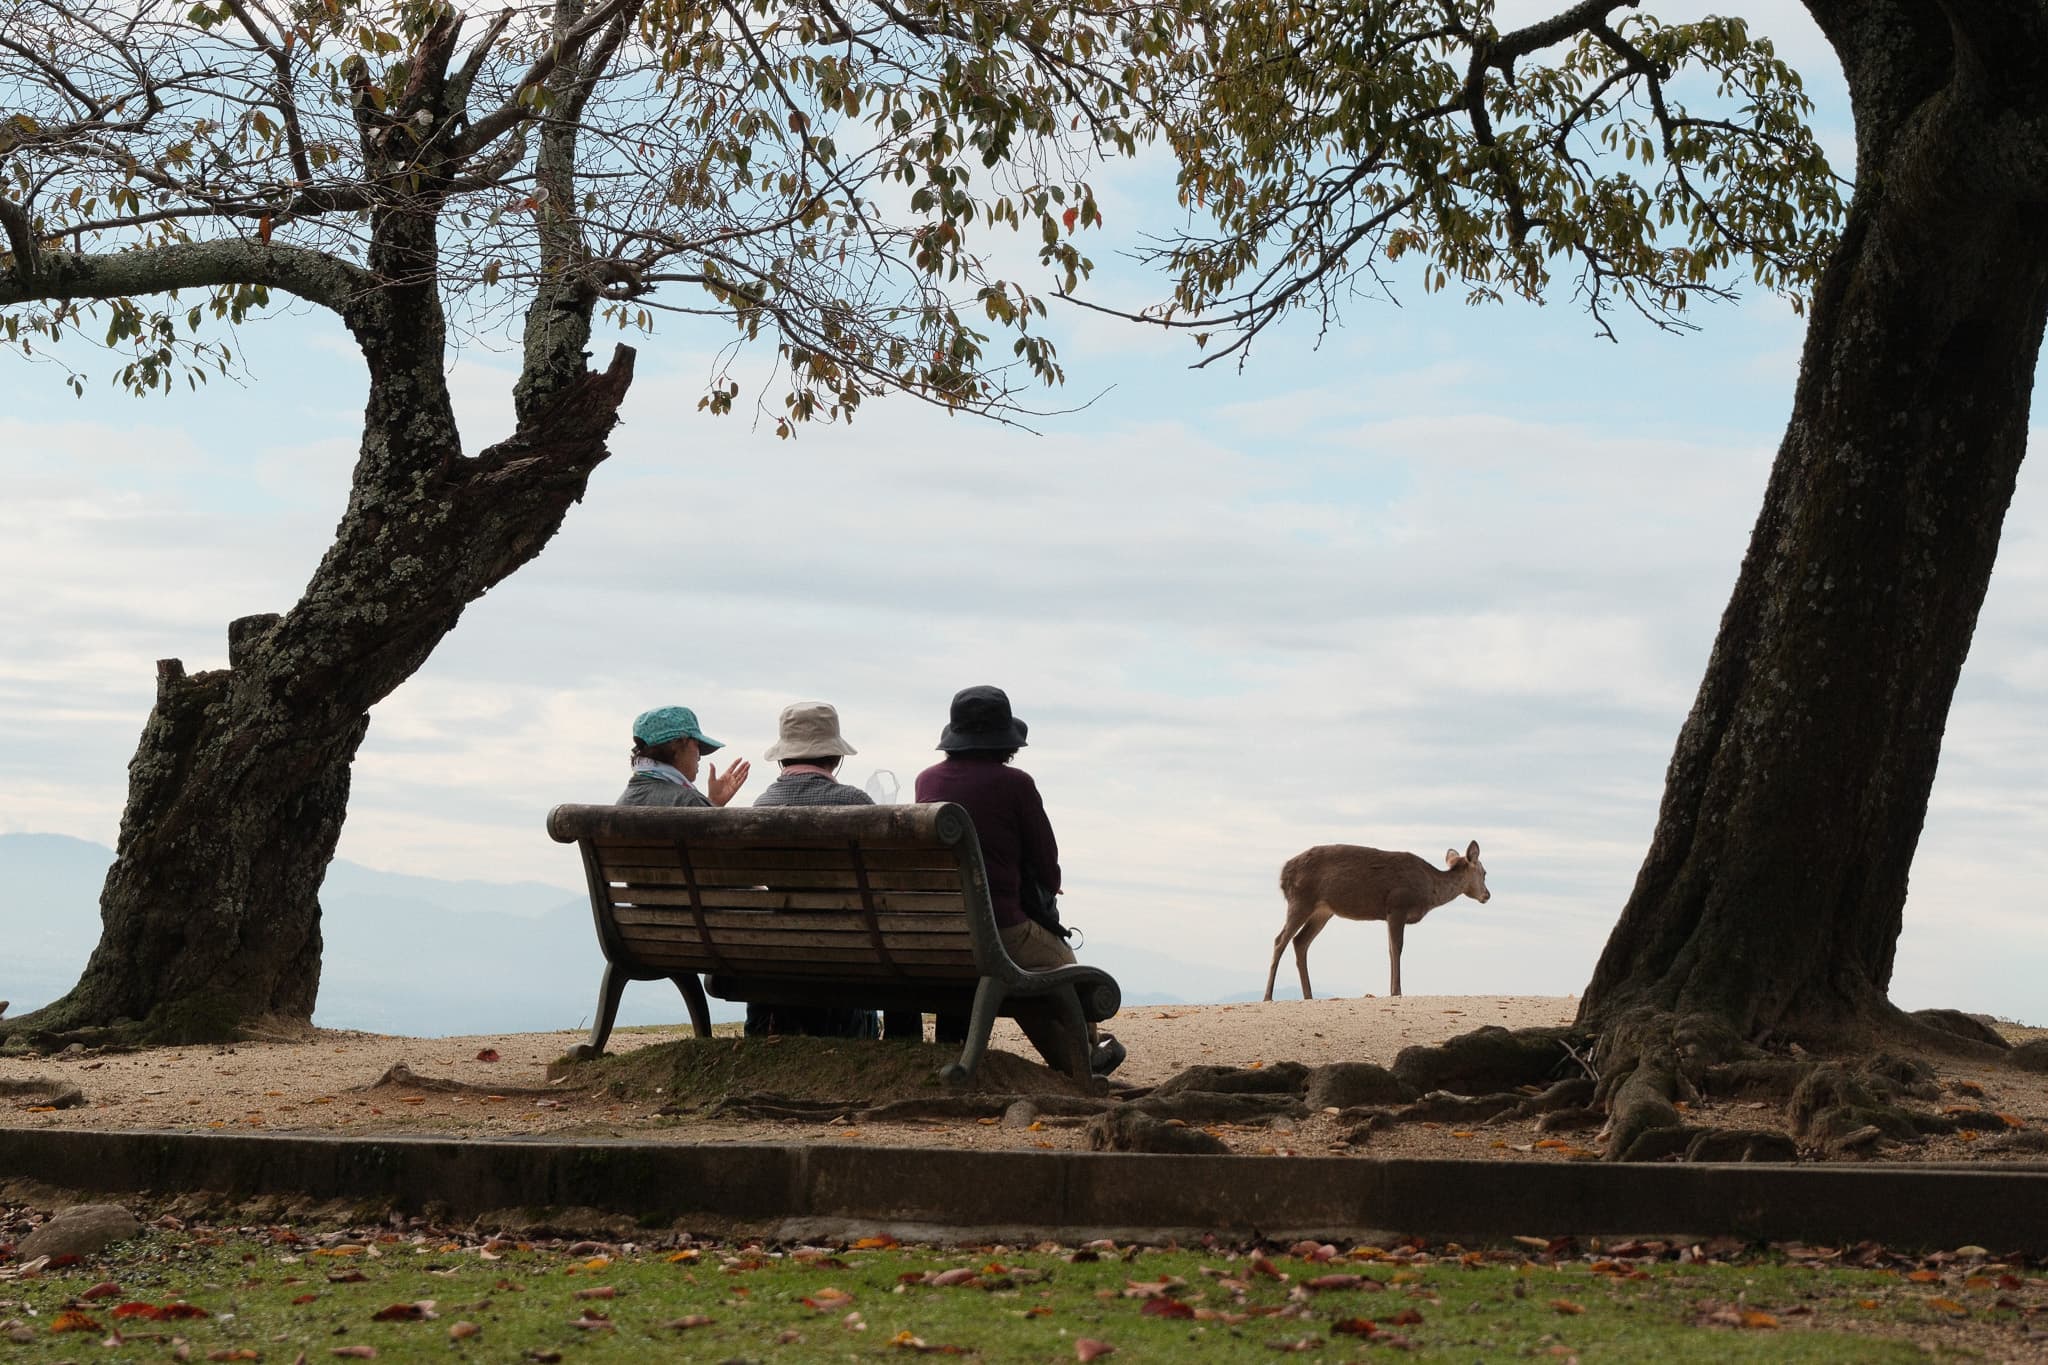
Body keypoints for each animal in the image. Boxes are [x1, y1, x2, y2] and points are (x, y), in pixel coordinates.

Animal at [1263, 841, 1490, 1000]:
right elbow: (1397, 947)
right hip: (1301, 900)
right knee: (1280, 940)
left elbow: (1390, 949)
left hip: (1323, 911)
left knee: (1300, 941)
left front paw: (1392, 989)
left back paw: (1308, 995)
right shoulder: (1398, 905)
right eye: (1485, 872)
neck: (1429, 890)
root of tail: (1282, 875)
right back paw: (1268, 996)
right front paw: (1397, 991)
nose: (1487, 895)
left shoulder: (1389, 914)